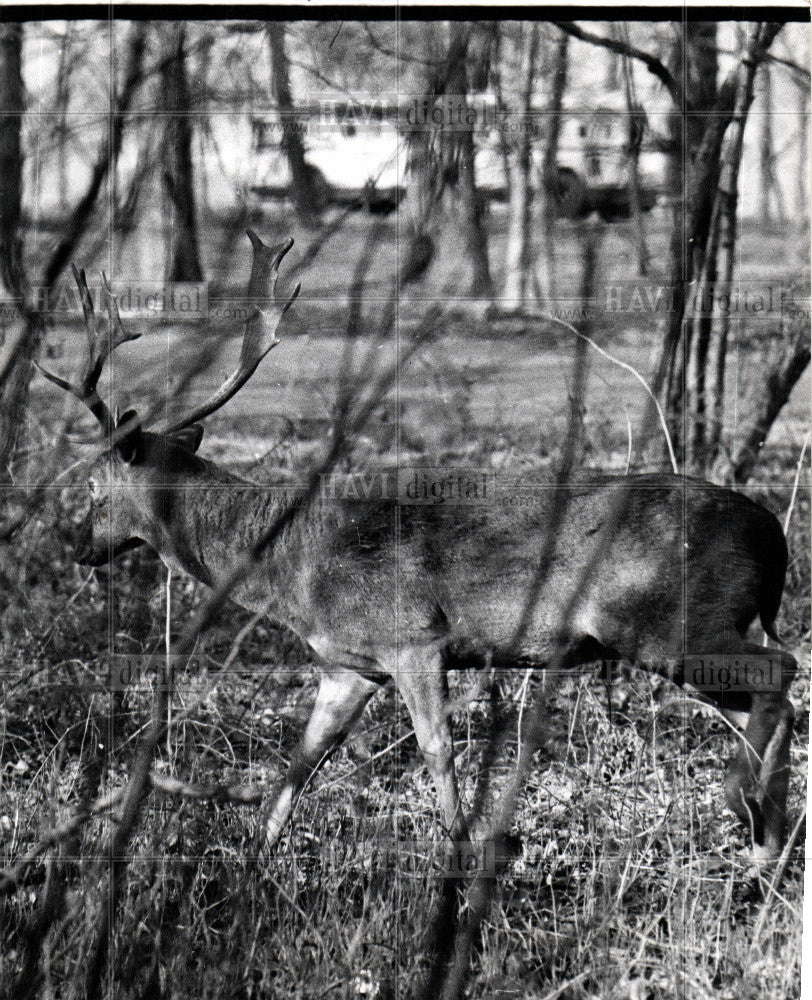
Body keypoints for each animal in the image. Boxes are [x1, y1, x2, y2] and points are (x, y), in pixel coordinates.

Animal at [41, 230, 796, 864]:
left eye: (92, 486)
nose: (79, 548)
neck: (291, 566)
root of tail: (775, 536)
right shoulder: (347, 664)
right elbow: (297, 766)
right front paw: (253, 865)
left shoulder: (413, 637)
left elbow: (437, 753)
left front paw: (474, 854)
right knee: (766, 698)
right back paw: (770, 843)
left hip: (667, 617)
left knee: (780, 673)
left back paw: (749, 810)